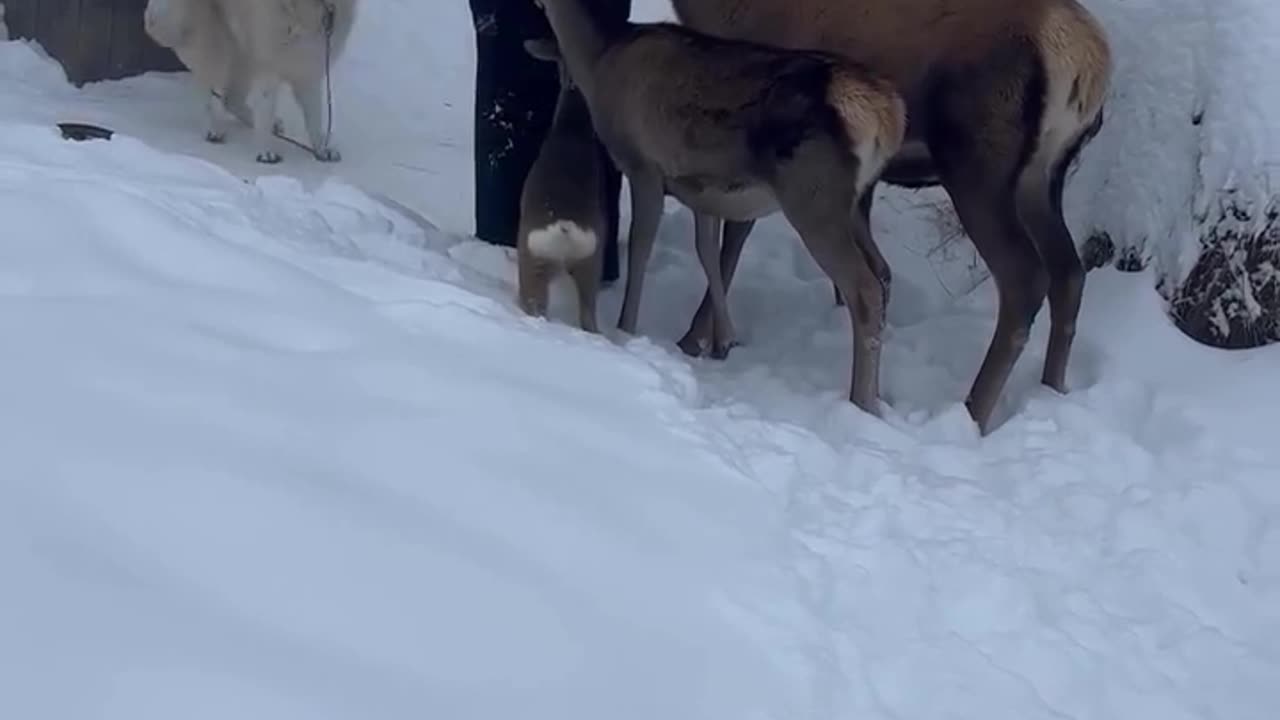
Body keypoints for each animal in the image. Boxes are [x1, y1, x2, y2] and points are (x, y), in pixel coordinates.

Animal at [145, 0, 360, 162]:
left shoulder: (309, 66)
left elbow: (315, 117)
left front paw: (322, 149)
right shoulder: (269, 63)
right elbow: (265, 109)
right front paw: (266, 152)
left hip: (243, 53)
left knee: (230, 99)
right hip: (212, 40)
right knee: (205, 89)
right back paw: (212, 130)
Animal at [512, 38, 606, 330]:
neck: (570, 129)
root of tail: (565, 227)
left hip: (533, 255)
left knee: (533, 303)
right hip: (590, 262)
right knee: (589, 316)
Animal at [524, 0, 906, 415]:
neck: (599, 62)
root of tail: (887, 116)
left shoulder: (644, 166)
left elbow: (641, 248)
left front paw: (626, 328)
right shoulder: (701, 190)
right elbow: (708, 253)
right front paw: (722, 341)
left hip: (814, 196)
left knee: (864, 288)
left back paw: (861, 402)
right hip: (851, 204)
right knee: (882, 272)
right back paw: (878, 397)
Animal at [670, 0, 1111, 430]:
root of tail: (1088, 60)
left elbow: (732, 237)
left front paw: (698, 338)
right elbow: (877, 269)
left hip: (978, 164)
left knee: (1025, 278)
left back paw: (972, 414)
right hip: (1042, 176)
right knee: (1069, 273)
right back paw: (1050, 388)